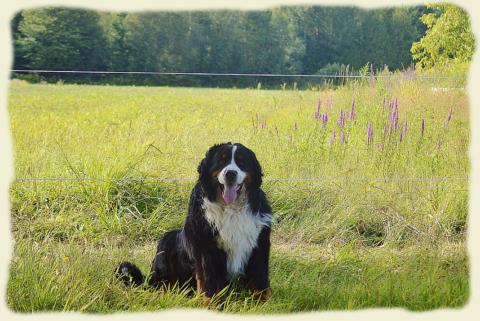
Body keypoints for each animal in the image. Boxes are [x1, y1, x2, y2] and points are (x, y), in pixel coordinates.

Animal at [116, 142, 272, 302]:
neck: (231, 209)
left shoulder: (259, 244)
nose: (230, 173)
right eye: (221, 161)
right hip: (166, 241)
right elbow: (210, 281)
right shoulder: (206, 248)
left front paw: (265, 301)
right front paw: (212, 303)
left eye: (241, 162)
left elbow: (260, 277)